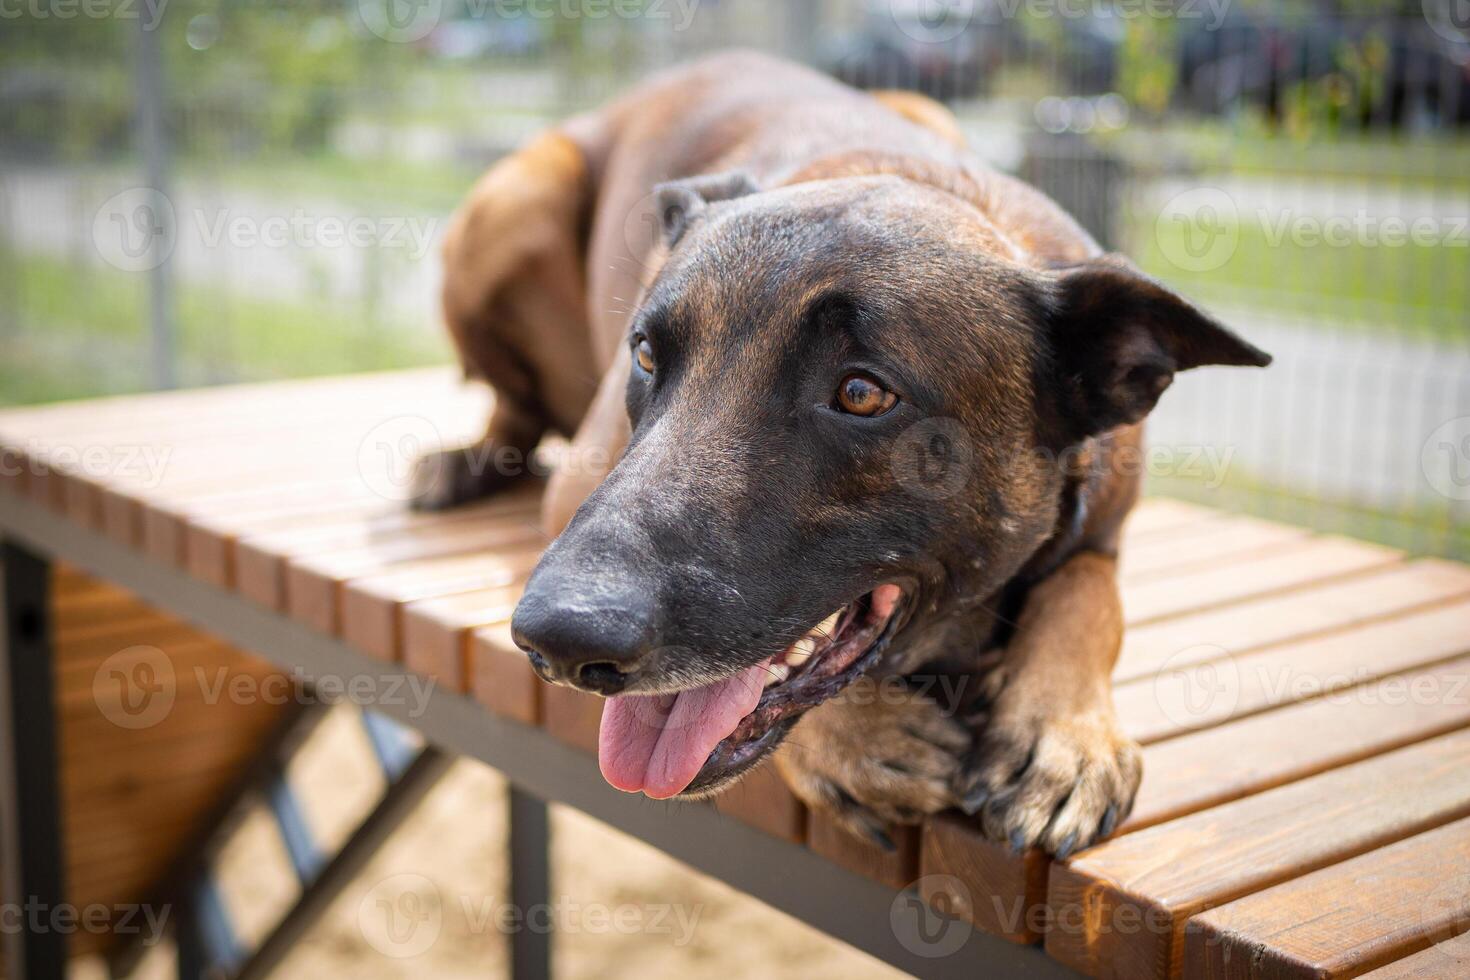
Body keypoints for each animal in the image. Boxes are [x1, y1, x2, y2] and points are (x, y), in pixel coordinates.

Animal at [414, 51, 1264, 858]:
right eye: (648, 356)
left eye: (861, 394)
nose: (556, 641)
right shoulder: (579, 484)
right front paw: (856, 739)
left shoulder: (1105, 533)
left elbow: (1091, 601)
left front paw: (1062, 735)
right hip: (516, 197)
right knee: (513, 408)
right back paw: (463, 461)